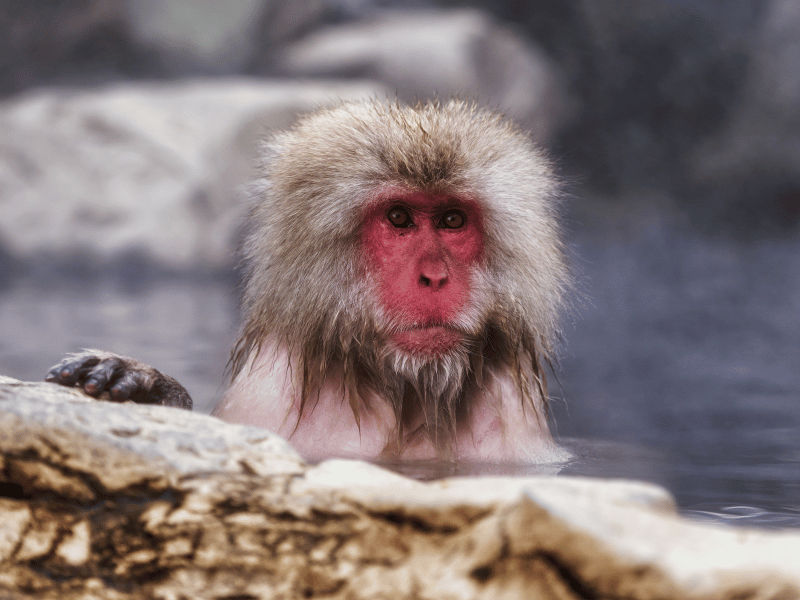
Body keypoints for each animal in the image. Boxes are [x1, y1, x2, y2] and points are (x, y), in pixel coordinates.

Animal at [46, 99, 572, 464]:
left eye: (452, 220)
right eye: (399, 218)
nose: (434, 277)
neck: (403, 392)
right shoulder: (265, 394)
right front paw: (150, 386)